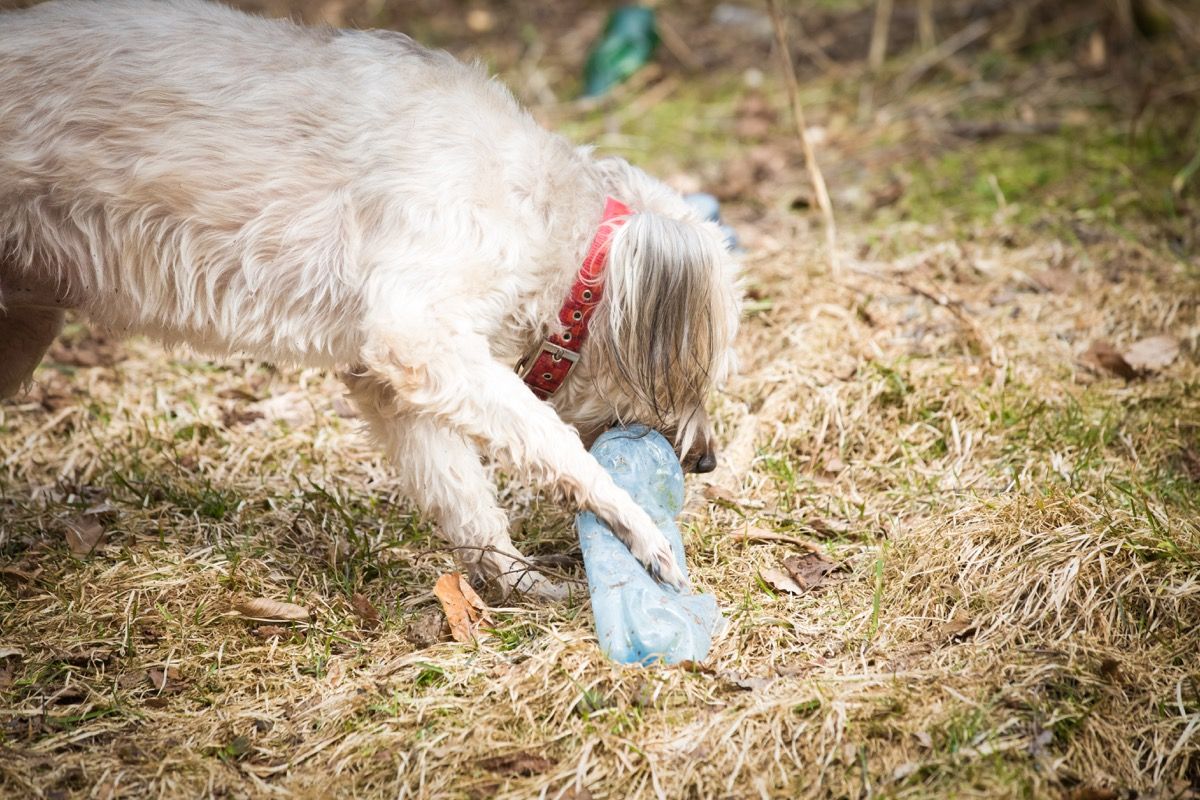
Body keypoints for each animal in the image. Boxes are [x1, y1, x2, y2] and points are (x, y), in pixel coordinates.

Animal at [0, 0, 739, 599]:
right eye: (698, 375)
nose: (706, 462)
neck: (553, 223)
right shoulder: (418, 333)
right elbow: (549, 441)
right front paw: (635, 528)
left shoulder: (393, 382)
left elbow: (462, 494)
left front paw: (516, 583)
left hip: (26, 325)